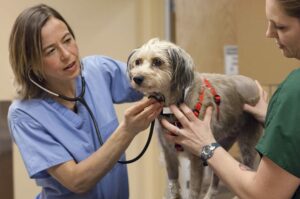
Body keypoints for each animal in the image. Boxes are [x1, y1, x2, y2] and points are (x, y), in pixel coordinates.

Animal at [126, 38, 262, 199]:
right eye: (138, 62)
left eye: (157, 61)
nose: (137, 78)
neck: (173, 105)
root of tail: (254, 85)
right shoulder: (169, 155)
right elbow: (174, 188)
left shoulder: (196, 159)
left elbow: (193, 192)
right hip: (220, 148)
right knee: (216, 180)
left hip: (247, 147)